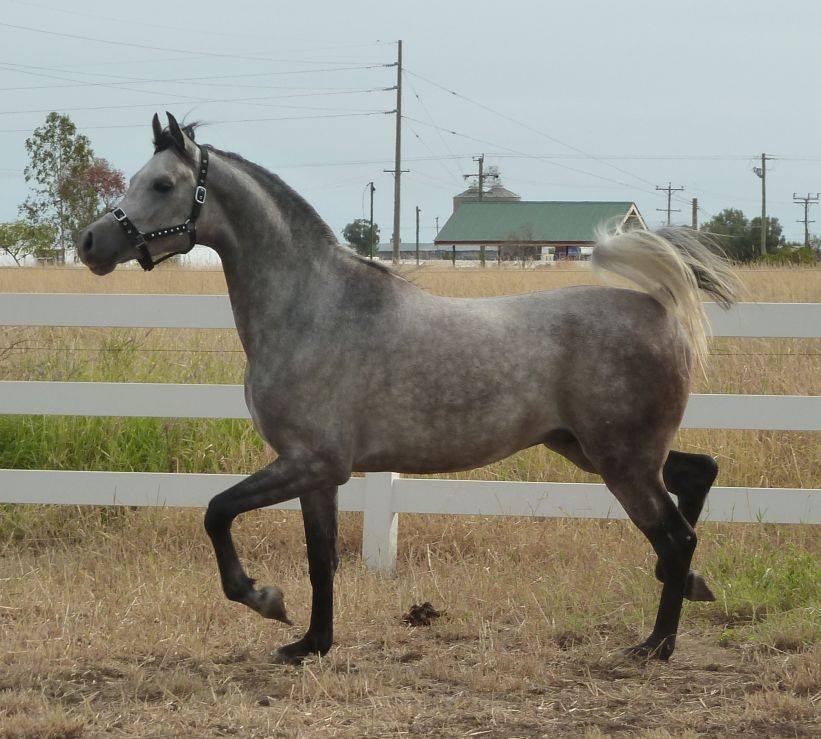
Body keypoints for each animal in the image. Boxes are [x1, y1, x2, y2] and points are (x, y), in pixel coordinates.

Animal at [80, 114, 740, 664]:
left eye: (163, 184)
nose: (90, 244)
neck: (313, 309)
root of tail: (658, 309)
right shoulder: (315, 473)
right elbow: (321, 559)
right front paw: (310, 643)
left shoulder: (310, 462)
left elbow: (218, 512)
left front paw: (263, 598)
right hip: (589, 449)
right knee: (698, 473)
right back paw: (687, 590)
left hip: (620, 460)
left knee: (678, 536)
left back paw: (656, 644)